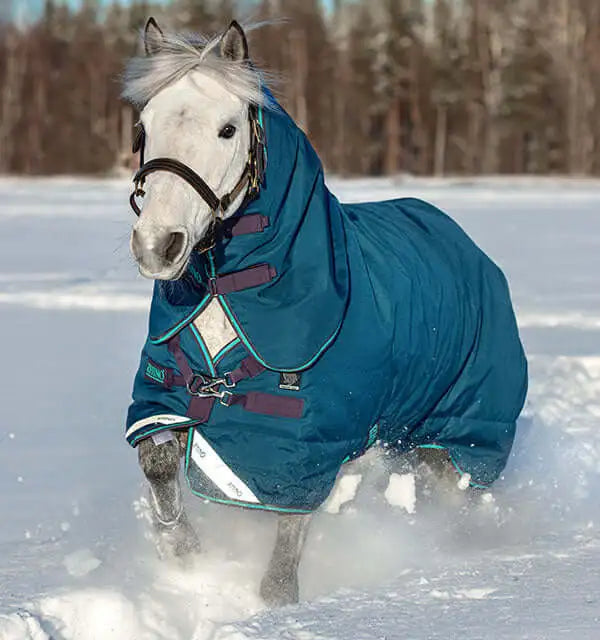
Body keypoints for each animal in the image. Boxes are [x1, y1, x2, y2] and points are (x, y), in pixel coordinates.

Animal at [122, 19, 528, 607]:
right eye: (144, 127)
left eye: (227, 130)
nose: (157, 244)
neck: (232, 291)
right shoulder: (167, 397)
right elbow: (156, 462)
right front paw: (184, 554)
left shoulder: (309, 443)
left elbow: (286, 546)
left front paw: (276, 603)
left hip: (459, 437)